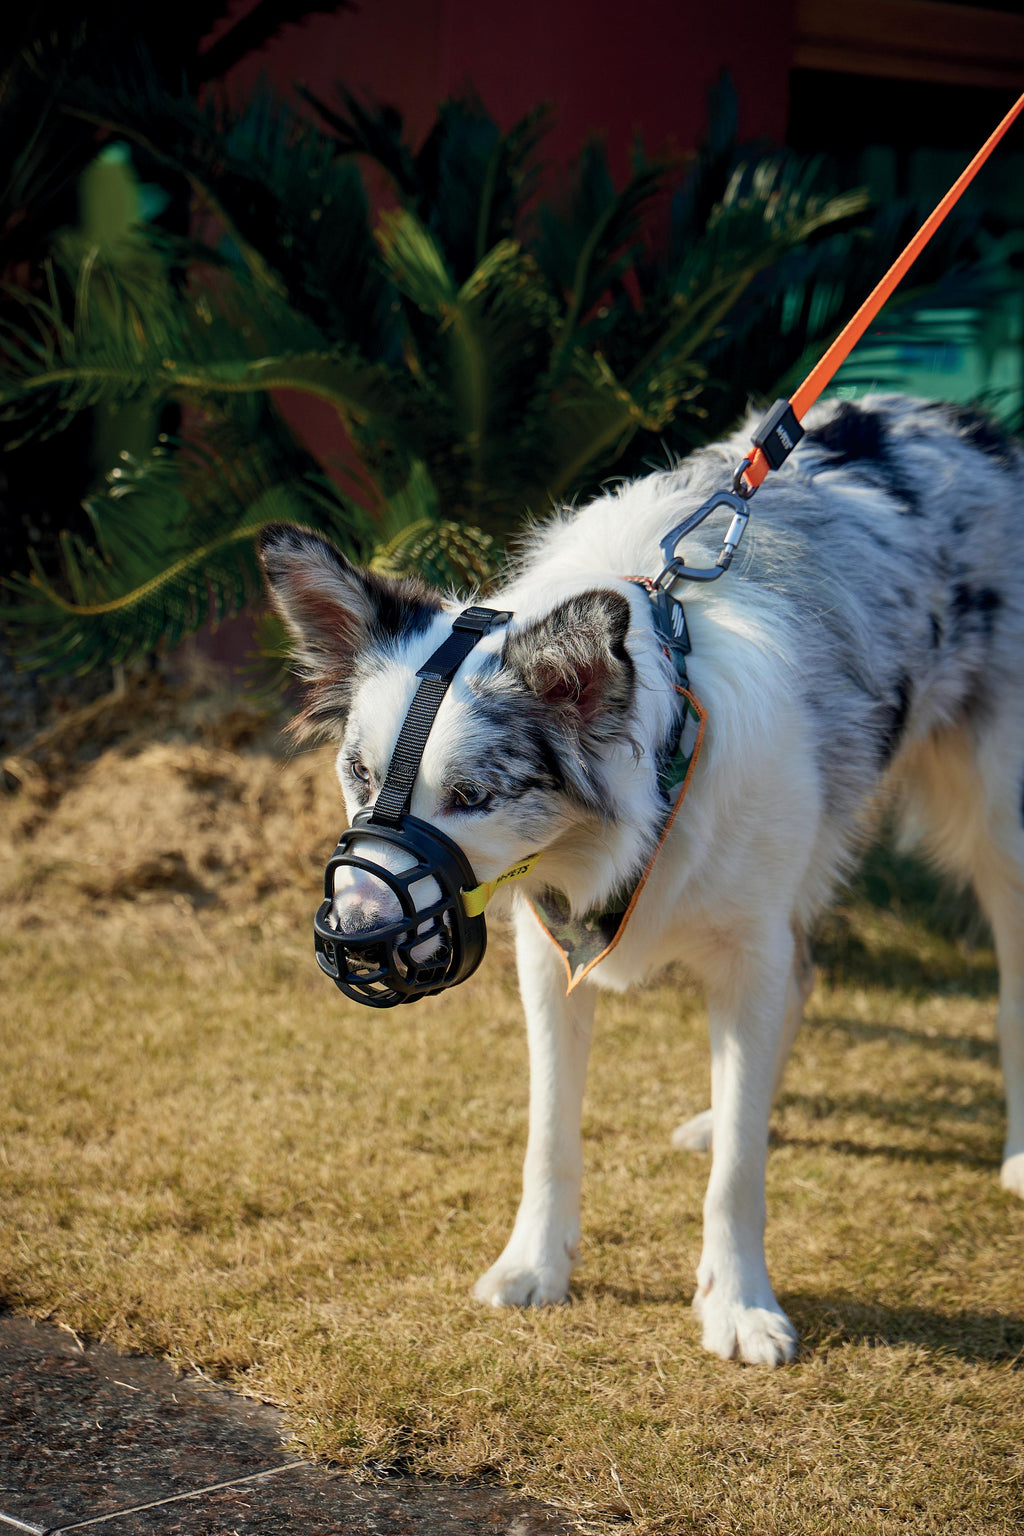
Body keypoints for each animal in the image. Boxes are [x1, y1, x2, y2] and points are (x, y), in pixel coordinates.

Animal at [260, 399, 1024, 1370]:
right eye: (359, 774)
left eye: (471, 797)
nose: (351, 934)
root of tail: (966, 420)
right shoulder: (549, 954)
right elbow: (550, 1131)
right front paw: (535, 1265)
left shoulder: (745, 946)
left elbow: (737, 1171)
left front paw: (739, 1304)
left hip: (1002, 826)